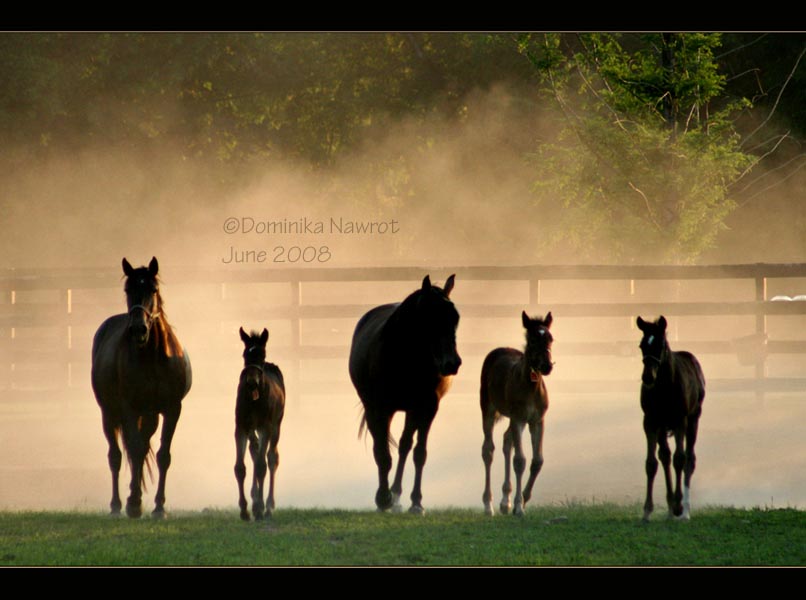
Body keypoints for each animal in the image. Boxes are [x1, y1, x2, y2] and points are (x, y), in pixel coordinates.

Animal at [91, 255, 193, 516]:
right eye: (128, 289)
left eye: (153, 289)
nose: (139, 329)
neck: (153, 357)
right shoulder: (129, 408)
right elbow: (134, 451)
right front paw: (135, 504)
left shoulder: (172, 409)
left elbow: (162, 455)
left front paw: (159, 506)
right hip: (109, 412)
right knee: (117, 455)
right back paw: (118, 504)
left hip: (150, 416)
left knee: (143, 447)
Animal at [234, 328, 288, 520]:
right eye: (245, 354)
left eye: (262, 355)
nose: (252, 382)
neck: (253, 399)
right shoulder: (241, 427)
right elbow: (240, 468)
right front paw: (244, 509)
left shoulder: (266, 427)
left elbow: (261, 466)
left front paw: (258, 509)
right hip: (253, 429)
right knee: (254, 451)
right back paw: (254, 495)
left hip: (276, 426)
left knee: (271, 458)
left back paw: (269, 505)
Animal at [350, 274, 464, 512]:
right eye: (431, 317)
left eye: (455, 317)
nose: (452, 363)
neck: (406, 357)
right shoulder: (379, 409)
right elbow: (382, 454)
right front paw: (382, 498)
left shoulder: (427, 408)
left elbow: (419, 453)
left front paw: (416, 502)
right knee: (385, 447)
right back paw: (388, 496)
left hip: (412, 411)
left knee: (404, 446)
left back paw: (396, 494)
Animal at [480, 310, 556, 516]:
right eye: (532, 340)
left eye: (550, 338)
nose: (547, 366)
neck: (530, 386)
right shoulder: (519, 419)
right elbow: (520, 460)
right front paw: (518, 506)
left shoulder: (537, 420)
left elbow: (537, 461)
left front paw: (523, 499)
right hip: (488, 409)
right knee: (488, 450)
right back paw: (488, 505)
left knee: (507, 441)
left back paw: (505, 502)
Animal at [636, 314, 708, 520]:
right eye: (642, 345)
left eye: (661, 345)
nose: (648, 377)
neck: (663, 387)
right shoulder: (650, 421)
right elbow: (651, 463)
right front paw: (647, 511)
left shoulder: (679, 421)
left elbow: (680, 459)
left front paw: (678, 506)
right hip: (662, 426)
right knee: (665, 456)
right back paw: (669, 509)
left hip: (693, 419)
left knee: (689, 458)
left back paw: (684, 510)